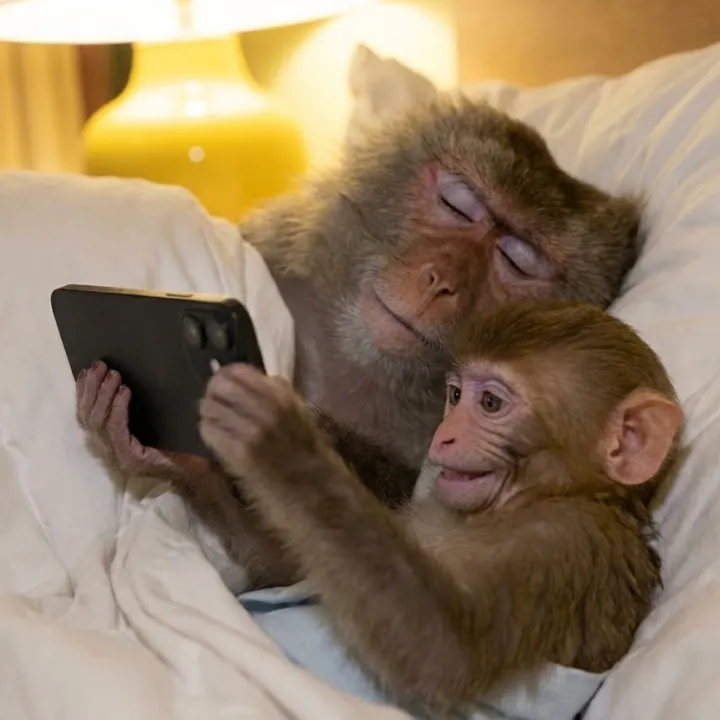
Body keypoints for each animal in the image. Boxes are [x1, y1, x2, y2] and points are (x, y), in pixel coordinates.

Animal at [191, 299, 682, 714]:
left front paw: (279, 440)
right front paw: (192, 466)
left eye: (490, 403)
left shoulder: (569, 541)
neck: (538, 496)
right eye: (455, 396)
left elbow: (446, 653)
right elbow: (292, 568)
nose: (443, 436)